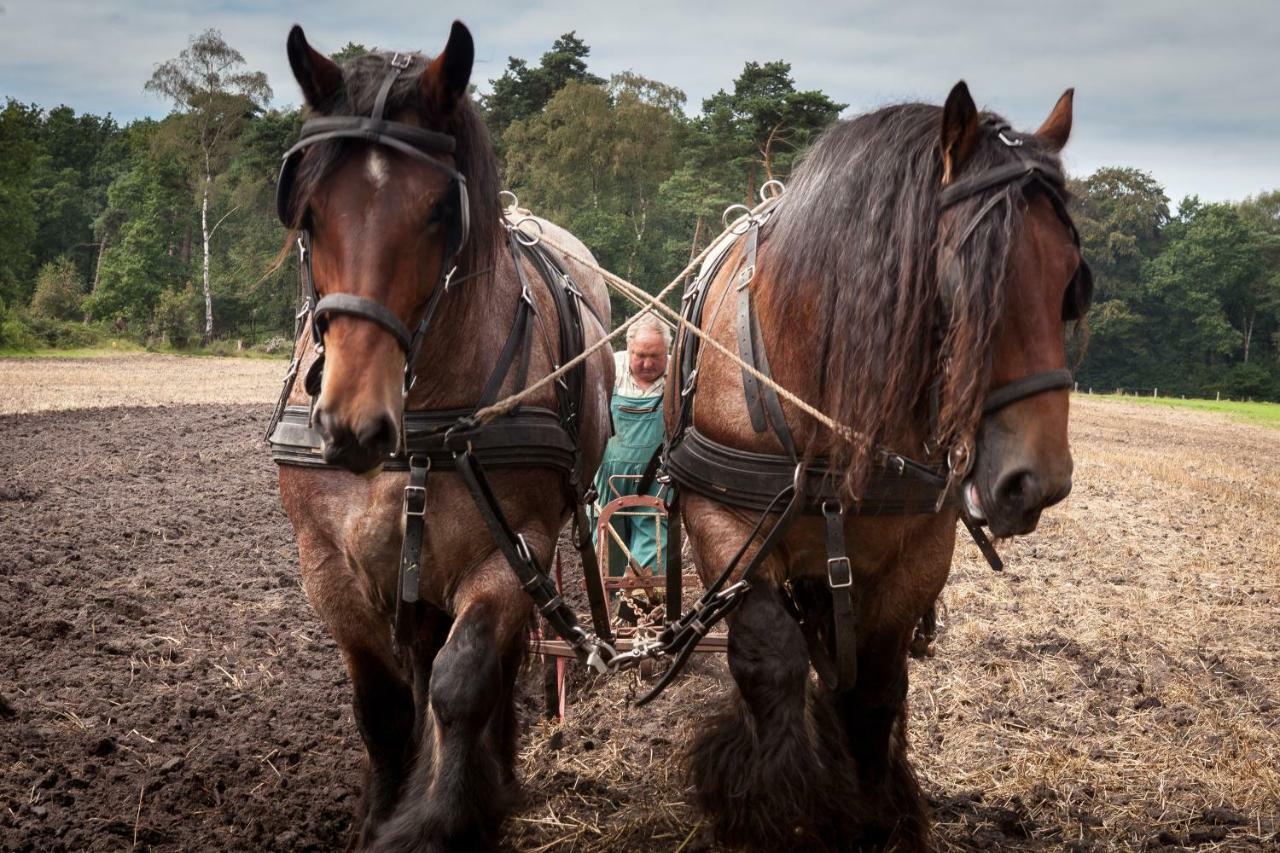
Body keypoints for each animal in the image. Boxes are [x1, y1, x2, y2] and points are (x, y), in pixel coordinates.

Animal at [267, 23, 611, 845]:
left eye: (437, 212)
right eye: (309, 211)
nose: (353, 425)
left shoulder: (513, 549)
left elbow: (462, 684)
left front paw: (442, 818)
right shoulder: (327, 566)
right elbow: (385, 706)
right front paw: (378, 814)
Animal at [665, 81, 1095, 850]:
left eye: (1070, 280)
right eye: (965, 281)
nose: (1036, 483)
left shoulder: (916, 553)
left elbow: (872, 687)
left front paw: (872, 816)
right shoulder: (722, 525)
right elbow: (769, 659)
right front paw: (781, 814)